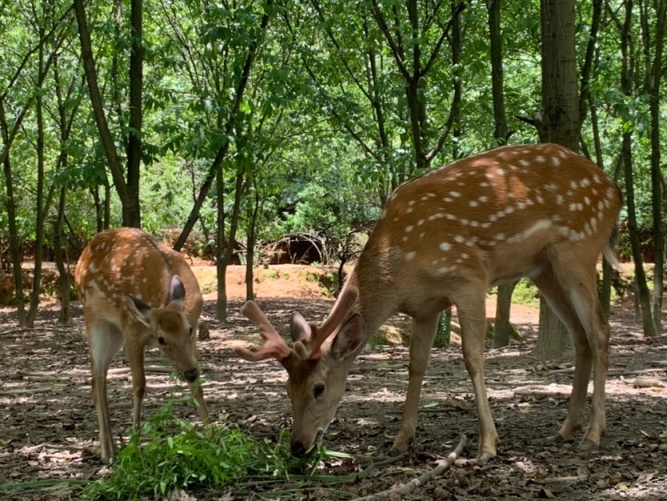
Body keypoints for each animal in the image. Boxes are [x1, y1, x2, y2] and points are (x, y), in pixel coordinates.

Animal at [74, 227, 209, 458]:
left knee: (99, 376)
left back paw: (112, 446)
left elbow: (197, 387)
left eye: (190, 331)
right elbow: (139, 385)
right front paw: (135, 443)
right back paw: (107, 451)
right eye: (161, 338)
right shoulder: (131, 330)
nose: (190, 372)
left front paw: (214, 435)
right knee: (97, 376)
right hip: (94, 317)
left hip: (113, 332)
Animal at [236, 143, 628, 462]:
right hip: (544, 269)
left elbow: (472, 358)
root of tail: (616, 193)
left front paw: (488, 445)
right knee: (580, 336)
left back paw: (593, 433)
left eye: (318, 388)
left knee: (600, 330)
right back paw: (566, 429)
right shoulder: (424, 307)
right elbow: (416, 364)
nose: (297, 446)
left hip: (578, 249)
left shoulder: (468, 278)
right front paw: (401, 440)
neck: (400, 269)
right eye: (288, 387)